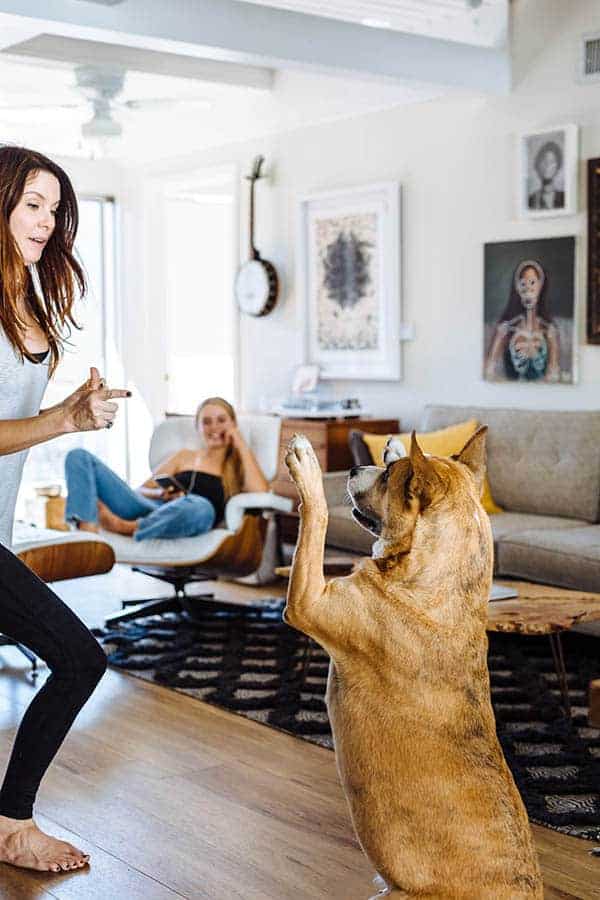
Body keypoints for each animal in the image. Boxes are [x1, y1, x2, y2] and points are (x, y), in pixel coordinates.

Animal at [284, 428, 540, 900]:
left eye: (388, 479)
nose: (353, 466)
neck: (442, 583)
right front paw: (395, 445)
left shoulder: (308, 601)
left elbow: (317, 519)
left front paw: (306, 464)